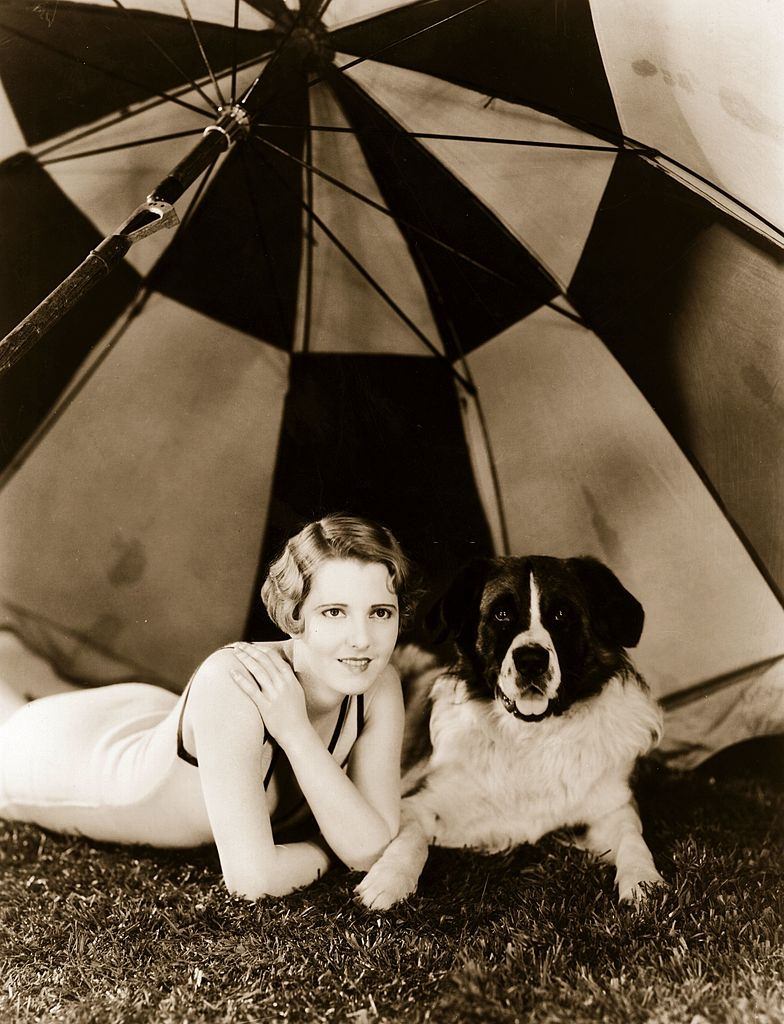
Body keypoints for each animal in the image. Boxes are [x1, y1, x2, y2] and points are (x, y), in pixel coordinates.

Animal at [360, 557, 667, 909]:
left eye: (561, 615)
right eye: (501, 614)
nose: (531, 660)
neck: (530, 737)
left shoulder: (612, 807)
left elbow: (633, 838)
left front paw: (644, 882)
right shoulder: (417, 801)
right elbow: (411, 839)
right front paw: (388, 881)